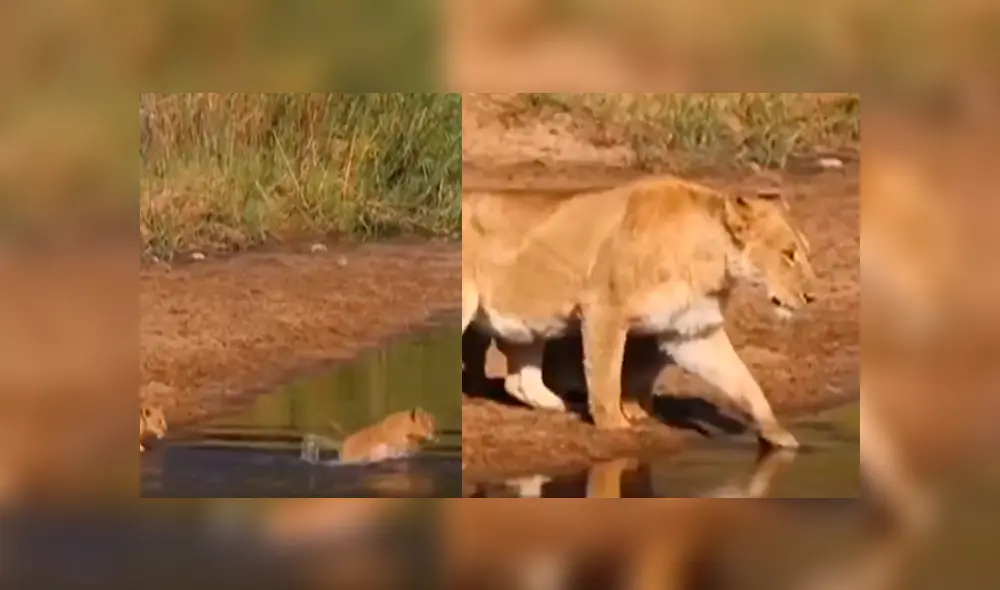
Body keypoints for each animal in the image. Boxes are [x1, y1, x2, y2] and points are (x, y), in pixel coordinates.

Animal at [462, 176, 817, 450]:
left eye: (803, 253)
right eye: (788, 254)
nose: (812, 296)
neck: (711, 261)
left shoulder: (691, 331)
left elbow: (744, 382)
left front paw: (779, 436)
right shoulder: (604, 310)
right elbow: (606, 376)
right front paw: (615, 426)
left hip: (530, 322)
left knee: (520, 382)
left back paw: (561, 404)